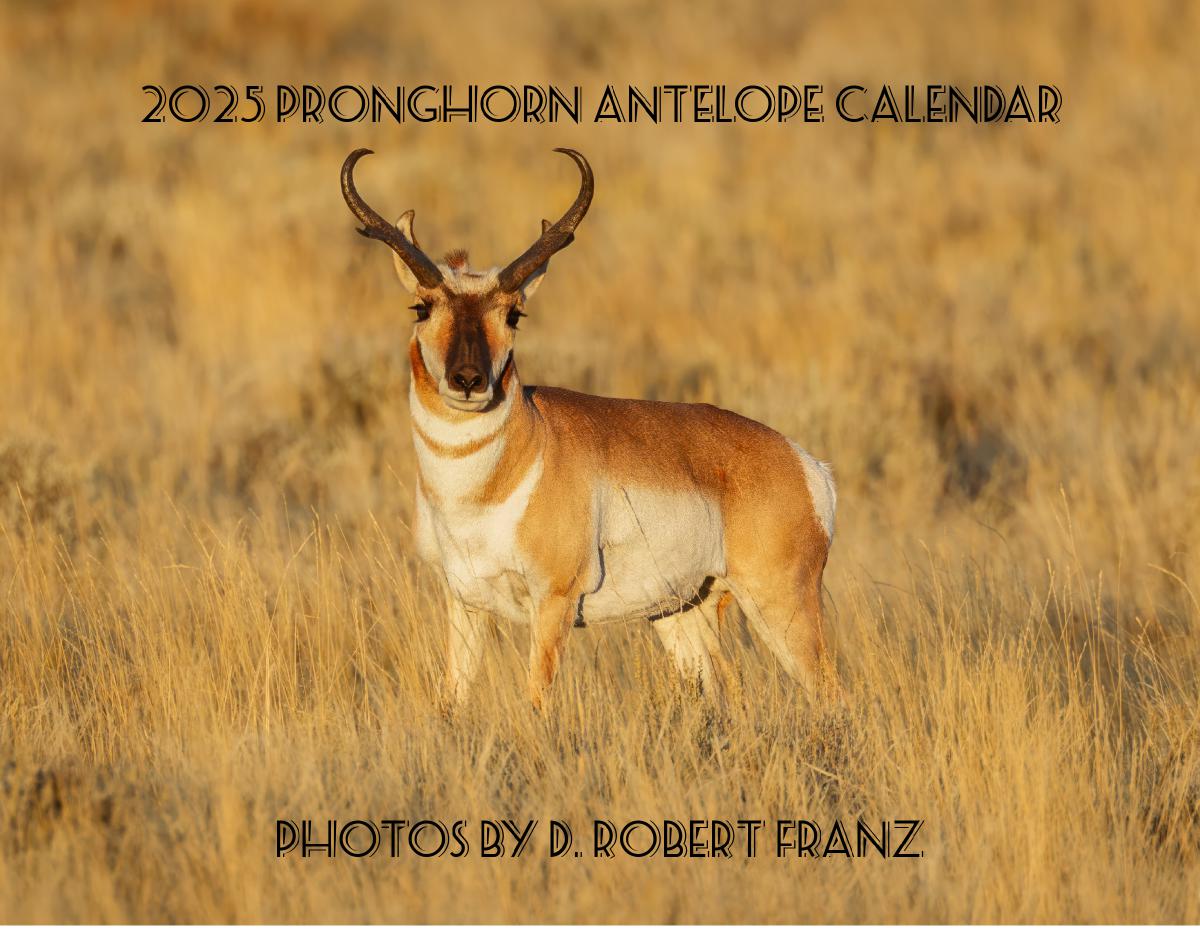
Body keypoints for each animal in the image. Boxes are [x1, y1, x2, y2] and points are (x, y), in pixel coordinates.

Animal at [340, 147, 841, 711]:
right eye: (421, 306)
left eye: (514, 314)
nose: (468, 380)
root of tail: (807, 465)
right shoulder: (463, 602)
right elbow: (453, 698)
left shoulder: (553, 602)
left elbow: (535, 699)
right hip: (680, 612)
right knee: (725, 688)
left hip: (780, 606)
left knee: (832, 694)